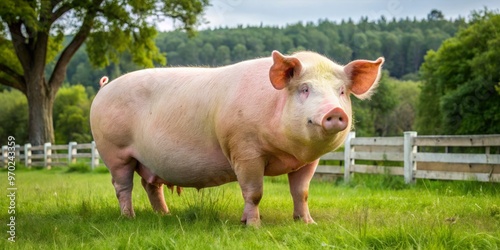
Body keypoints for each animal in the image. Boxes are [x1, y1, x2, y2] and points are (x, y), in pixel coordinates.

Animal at [90, 50, 382, 227]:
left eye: (341, 91)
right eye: (305, 89)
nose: (335, 112)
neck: (287, 152)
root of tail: (104, 88)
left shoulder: (308, 162)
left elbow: (302, 192)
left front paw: (307, 223)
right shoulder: (244, 150)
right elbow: (254, 192)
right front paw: (253, 225)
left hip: (148, 161)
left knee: (151, 185)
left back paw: (165, 214)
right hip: (114, 152)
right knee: (123, 187)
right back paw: (129, 217)